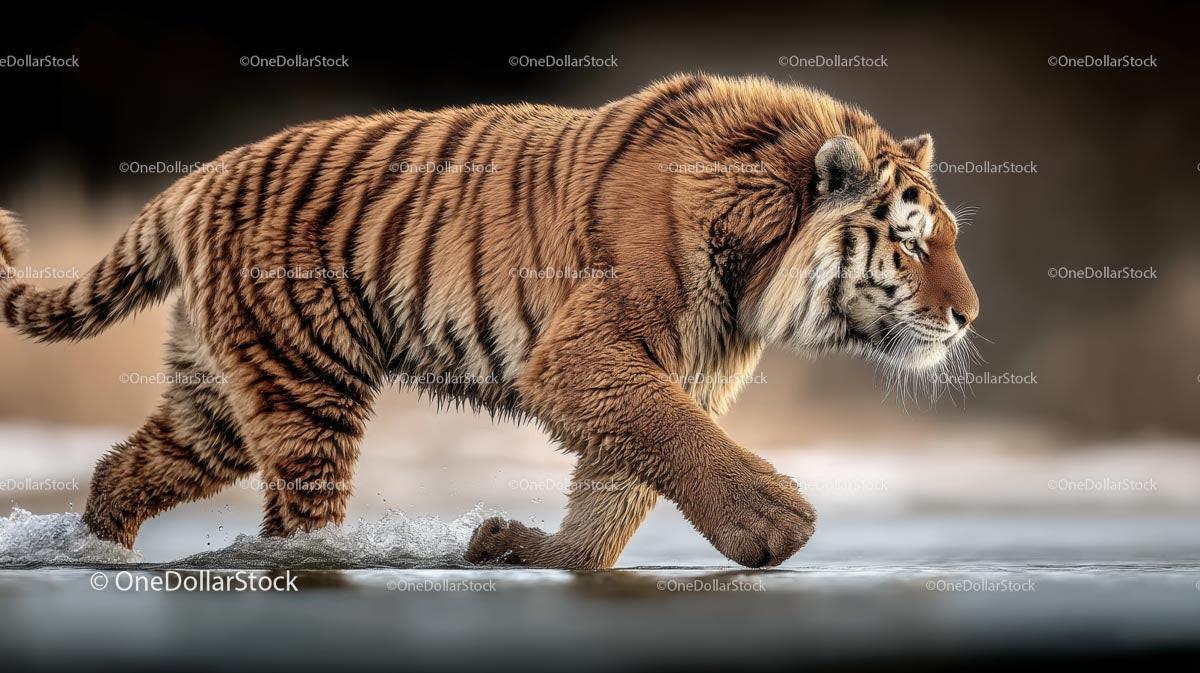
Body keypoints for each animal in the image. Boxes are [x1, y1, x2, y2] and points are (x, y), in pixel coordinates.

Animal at [0, 73, 978, 570]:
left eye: (952, 238)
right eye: (911, 242)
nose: (969, 316)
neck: (758, 246)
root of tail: (197, 178)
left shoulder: (674, 365)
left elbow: (622, 480)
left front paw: (537, 550)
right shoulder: (590, 349)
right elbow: (676, 438)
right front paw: (774, 523)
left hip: (221, 399)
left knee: (126, 468)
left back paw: (93, 552)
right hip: (304, 385)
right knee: (293, 517)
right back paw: (313, 559)